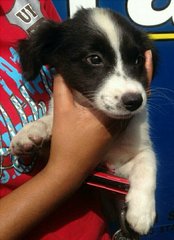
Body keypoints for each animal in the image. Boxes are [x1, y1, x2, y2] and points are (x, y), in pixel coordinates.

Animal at [10, 7, 158, 234]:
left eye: (138, 60)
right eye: (94, 59)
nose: (135, 101)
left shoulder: (122, 163)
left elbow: (147, 163)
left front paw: (142, 212)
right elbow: (51, 119)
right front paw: (32, 129)